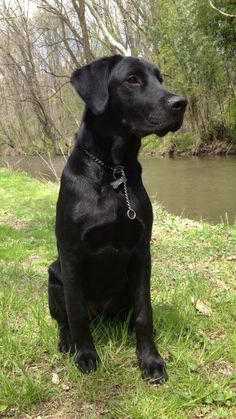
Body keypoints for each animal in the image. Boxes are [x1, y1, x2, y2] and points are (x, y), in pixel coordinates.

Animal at [48, 55, 186, 384]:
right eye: (132, 80)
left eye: (160, 79)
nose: (181, 103)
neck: (112, 170)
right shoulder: (71, 253)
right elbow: (76, 314)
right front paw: (86, 355)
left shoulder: (141, 252)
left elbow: (144, 313)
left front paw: (150, 360)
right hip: (54, 275)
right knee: (66, 319)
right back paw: (67, 341)